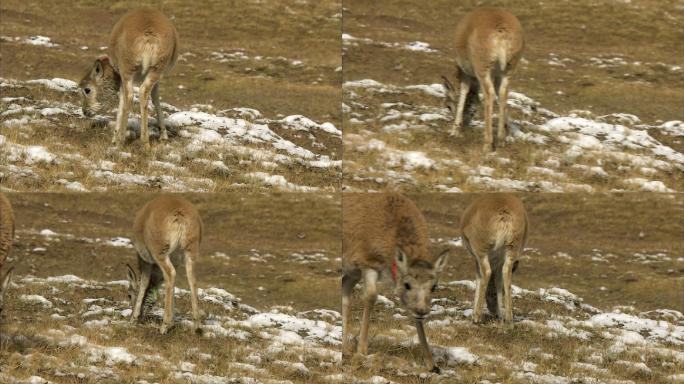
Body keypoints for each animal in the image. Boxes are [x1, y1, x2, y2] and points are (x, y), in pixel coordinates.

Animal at [79, 9, 180, 147]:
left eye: (87, 89)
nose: (84, 111)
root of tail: (149, 35)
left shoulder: (121, 75)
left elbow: (121, 101)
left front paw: (115, 137)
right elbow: (156, 98)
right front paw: (163, 136)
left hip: (128, 71)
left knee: (129, 96)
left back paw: (121, 139)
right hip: (155, 70)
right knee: (143, 93)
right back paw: (145, 141)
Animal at [125, 195, 202, 332]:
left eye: (129, 295)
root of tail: (179, 212)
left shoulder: (145, 261)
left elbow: (144, 284)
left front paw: (133, 319)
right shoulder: (175, 262)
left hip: (160, 253)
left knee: (170, 274)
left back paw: (164, 326)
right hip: (190, 253)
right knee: (191, 279)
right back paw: (196, 326)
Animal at [342, 192, 448, 372]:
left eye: (434, 286)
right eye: (407, 284)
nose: (422, 311)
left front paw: (431, 363)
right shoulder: (366, 263)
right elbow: (371, 296)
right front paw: (362, 350)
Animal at [444, 7, 524, 152]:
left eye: (448, 105)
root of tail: (501, 30)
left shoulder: (466, 73)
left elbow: (463, 92)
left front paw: (454, 131)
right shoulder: (496, 76)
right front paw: (510, 134)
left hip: (483, 69)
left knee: (489, 95)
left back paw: (487, 144)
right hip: (508, 70)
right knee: (503, 94)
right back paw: (501, 140)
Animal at [460, 195, 528, 324]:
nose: (494, 312)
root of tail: (504, 212)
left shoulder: (476, 259)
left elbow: (479, 278)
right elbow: (498, 282)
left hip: (481, 250)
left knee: (486, 272)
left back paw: (477, 318)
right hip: (512, 249)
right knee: (506, 273)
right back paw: (508, 318)